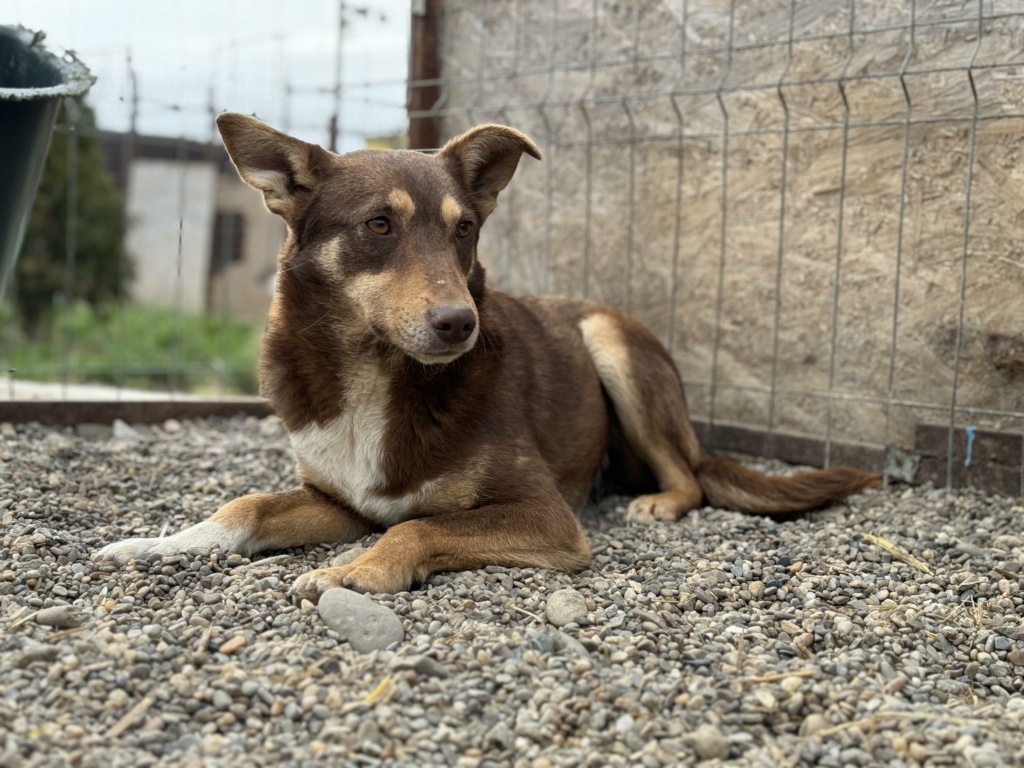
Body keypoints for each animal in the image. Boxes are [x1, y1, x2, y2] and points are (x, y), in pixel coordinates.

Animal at [97, 114, 880, 598]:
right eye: (378, 225)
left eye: (465, 229)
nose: (459, 325)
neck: (374, 372)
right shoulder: (340, 501)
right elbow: (248, 504)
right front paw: (158, 544)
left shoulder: (546, 515)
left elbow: (417, 524)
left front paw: (354, 573)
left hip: (610, 343)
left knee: (689, 475)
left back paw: (658, 500)